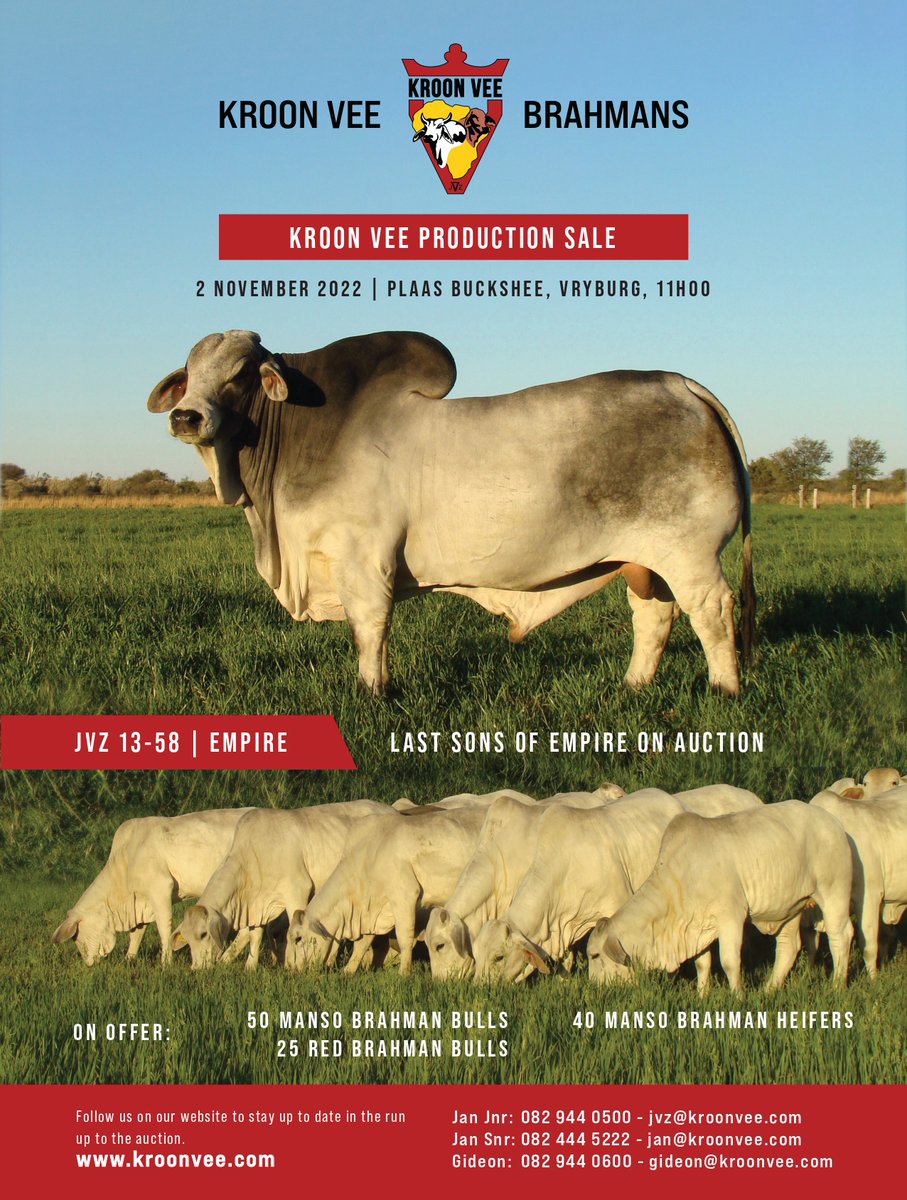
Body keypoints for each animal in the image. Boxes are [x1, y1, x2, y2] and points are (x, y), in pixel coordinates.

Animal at [51, 808, 254, 965]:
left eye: (76, 936)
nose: (88, 963)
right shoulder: (141, 901)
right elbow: (137, 933)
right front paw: (129, 958)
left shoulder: (161, 888)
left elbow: (164, 929)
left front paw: (166, 962)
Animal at [147, 330, 754, 696]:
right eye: (189, 373)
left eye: (239, 374)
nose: (186, 416)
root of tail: (680, 384)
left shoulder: (363, 560)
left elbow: (370, 628)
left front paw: (372, 693)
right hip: (646, 561)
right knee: (654, 616)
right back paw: (633, 686)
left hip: (690, 553)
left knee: (712, 613)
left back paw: (724, 690)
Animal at [171, 801, 393, 968]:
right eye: (187, 939)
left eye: (203, 934)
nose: (196, 968)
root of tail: (388, 808)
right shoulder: (258, 903)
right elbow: (255, 934)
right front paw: (250, 966)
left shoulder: (298, 889)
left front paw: (290, 962)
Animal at [589, 801, 854, 993]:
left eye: (594, 955)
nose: (593, 988)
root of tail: (832, 822)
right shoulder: (698, 925)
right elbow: (702, 963)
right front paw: (702, 995)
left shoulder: (731, 917)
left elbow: (729, 962)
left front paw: (738, 996)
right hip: (791, 907)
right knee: (789, 947)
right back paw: (768, 990)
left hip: (834, 891)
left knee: (840, 936)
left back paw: (837, 986)